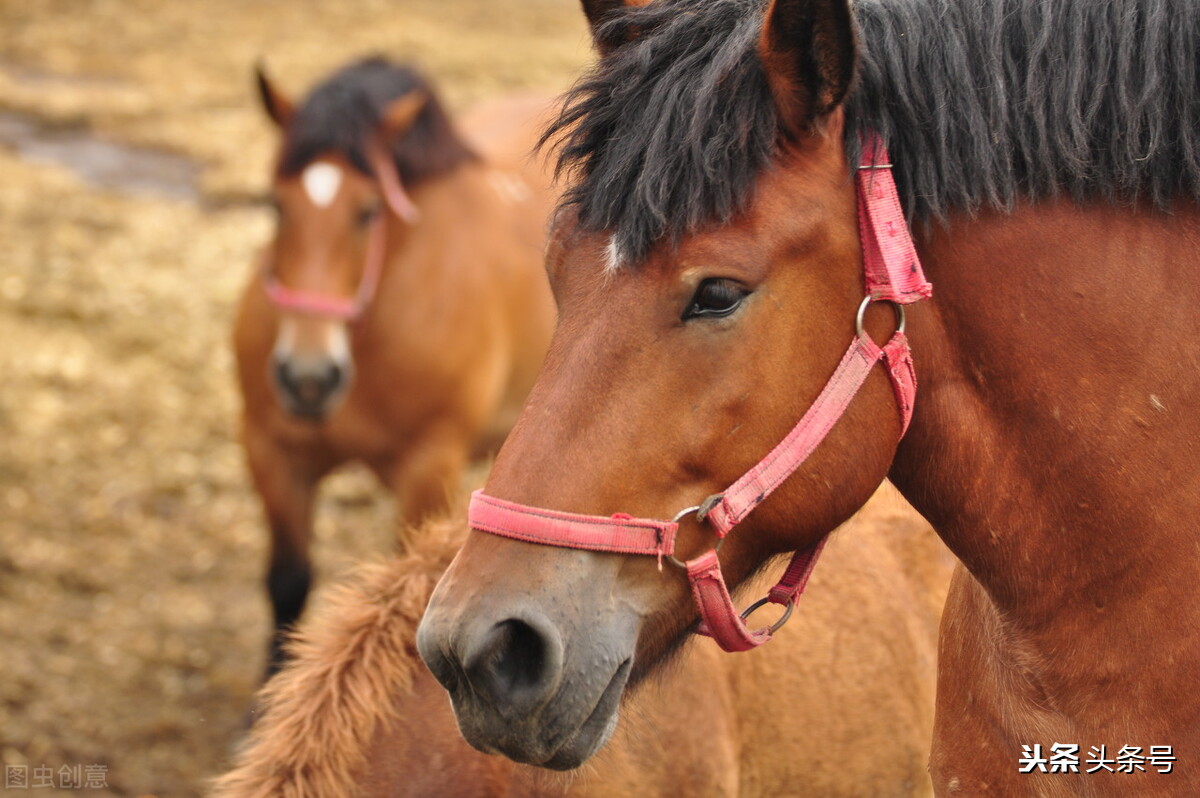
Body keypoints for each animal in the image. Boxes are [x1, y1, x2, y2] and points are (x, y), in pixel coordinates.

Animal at [235, 57, 556, 672]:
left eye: (368, 211)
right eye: (273, 204)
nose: (308, 379)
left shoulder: (427, 468)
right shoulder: (272, 451)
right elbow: (287, 581)